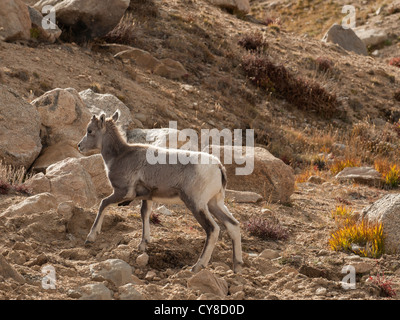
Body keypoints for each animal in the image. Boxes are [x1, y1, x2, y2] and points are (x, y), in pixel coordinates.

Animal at [76, 110, 242, 272]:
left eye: (90, 131)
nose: (79, 146)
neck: (120, 156)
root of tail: (218, 167)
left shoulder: (123, 192)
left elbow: (103, 203)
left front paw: (90, 237)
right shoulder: (147, 197)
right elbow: (144, 214)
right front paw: (143, 245)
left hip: (197, 204)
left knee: (213, 229)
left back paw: (197, 266)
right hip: (214, 203)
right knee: (233, 225)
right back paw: (237, 267)